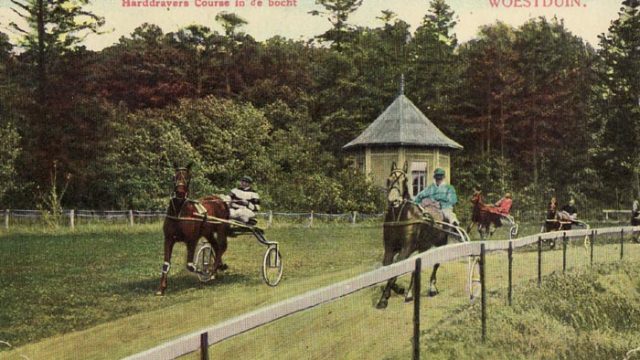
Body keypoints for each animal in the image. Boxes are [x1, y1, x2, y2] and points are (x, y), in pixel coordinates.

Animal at [156, 166, 231, 296]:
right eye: (174, 176)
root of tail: (219, 200)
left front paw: (205, 270)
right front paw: (162, 288)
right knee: (216, 246)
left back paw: (213, 269)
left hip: (221, 228)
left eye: (188, 177)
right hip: (208, 232)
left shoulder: (192, 240)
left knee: (222, 246)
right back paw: (218, 268)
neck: (180, 213)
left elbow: (190, 265)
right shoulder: (168, 239)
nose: (180, 192)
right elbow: (166, 264)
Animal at [376, 162, 450, 310]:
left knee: (436, 264)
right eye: (389, 179)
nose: (394, 200)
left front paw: (383, 299)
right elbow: (388, 268)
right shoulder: (389, 248)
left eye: (405, 180)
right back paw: (410, 294)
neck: (399, 217)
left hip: (441, 244)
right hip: (423, 247)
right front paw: (398, 289)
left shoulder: (406, 248)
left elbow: (396, 268)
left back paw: (432, 288)